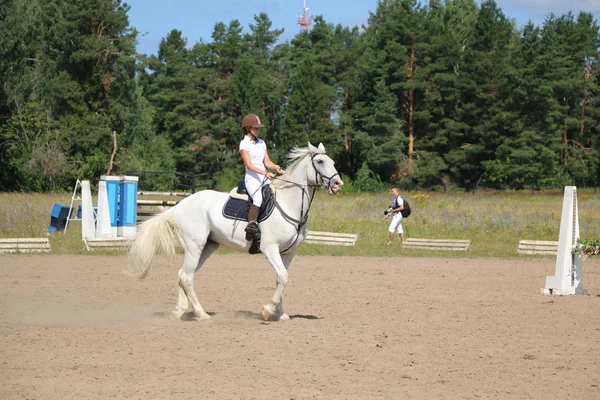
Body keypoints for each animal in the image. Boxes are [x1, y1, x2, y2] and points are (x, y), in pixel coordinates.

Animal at [124, 144, 344, 322]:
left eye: (333, 162)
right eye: (320, 161)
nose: (337, 184)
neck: (289, 203)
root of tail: (179, 206)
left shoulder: (288, 253)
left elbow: (281, 278)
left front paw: (280, 314)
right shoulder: (269, 248)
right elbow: (282, 277)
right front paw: (267, 311)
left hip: (207, 246)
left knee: (183, 274)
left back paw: (179, 312)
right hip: (195, 245)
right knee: (187, 277)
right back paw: (202, 314)